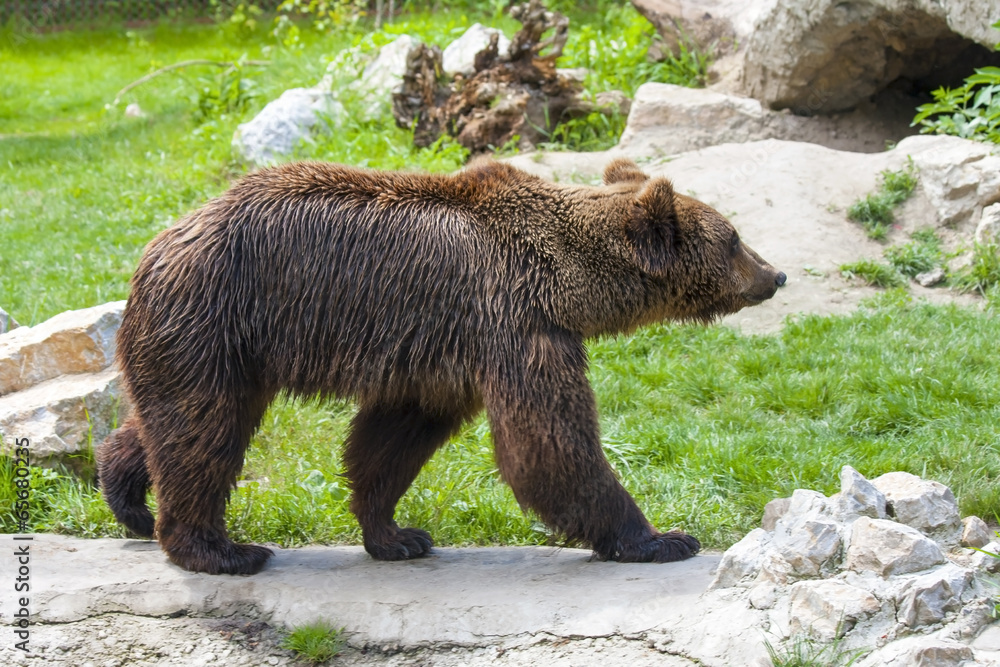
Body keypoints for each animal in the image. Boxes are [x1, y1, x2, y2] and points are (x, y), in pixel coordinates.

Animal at [95, 155, 780, 576]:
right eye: (734, 238)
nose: (775, 275)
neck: (567, 280)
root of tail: (156, 247)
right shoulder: (514, 321)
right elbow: (548, 444)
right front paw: (661, 538)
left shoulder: (436, 350)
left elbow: (393, 438)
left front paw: (397, 534)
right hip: (219, 319)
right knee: (203, 434)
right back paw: (222, 550)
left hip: (223, 347)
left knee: (169, 423)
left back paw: (127, 497)